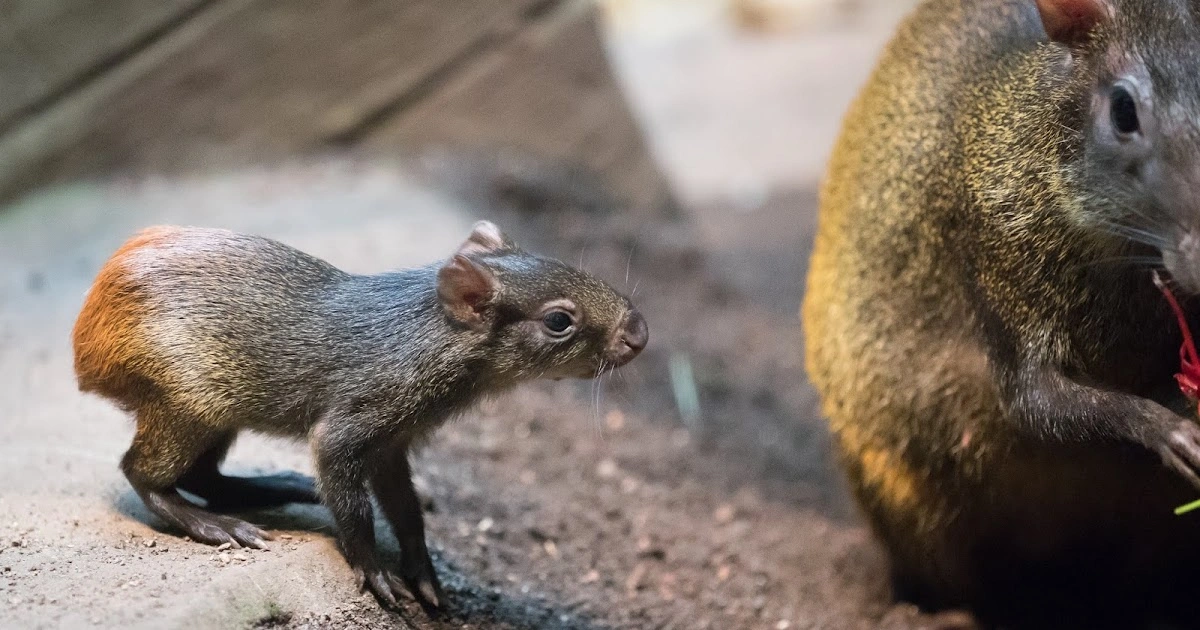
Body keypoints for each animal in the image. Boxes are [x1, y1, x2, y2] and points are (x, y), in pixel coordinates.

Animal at [72, 220, 647, 610]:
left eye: (573, 267)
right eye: (559, 321)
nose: (639, 333)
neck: (429, 337)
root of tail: (87, 348)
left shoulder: (393, 443)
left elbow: (407, 510)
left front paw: (424, 575)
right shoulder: (350, 427)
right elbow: (356, 511)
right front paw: (377, 576)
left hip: (214, 416)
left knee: (204, 476)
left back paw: (278, 487)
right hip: (184, 407)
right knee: (141, 473)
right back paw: (216, 526)